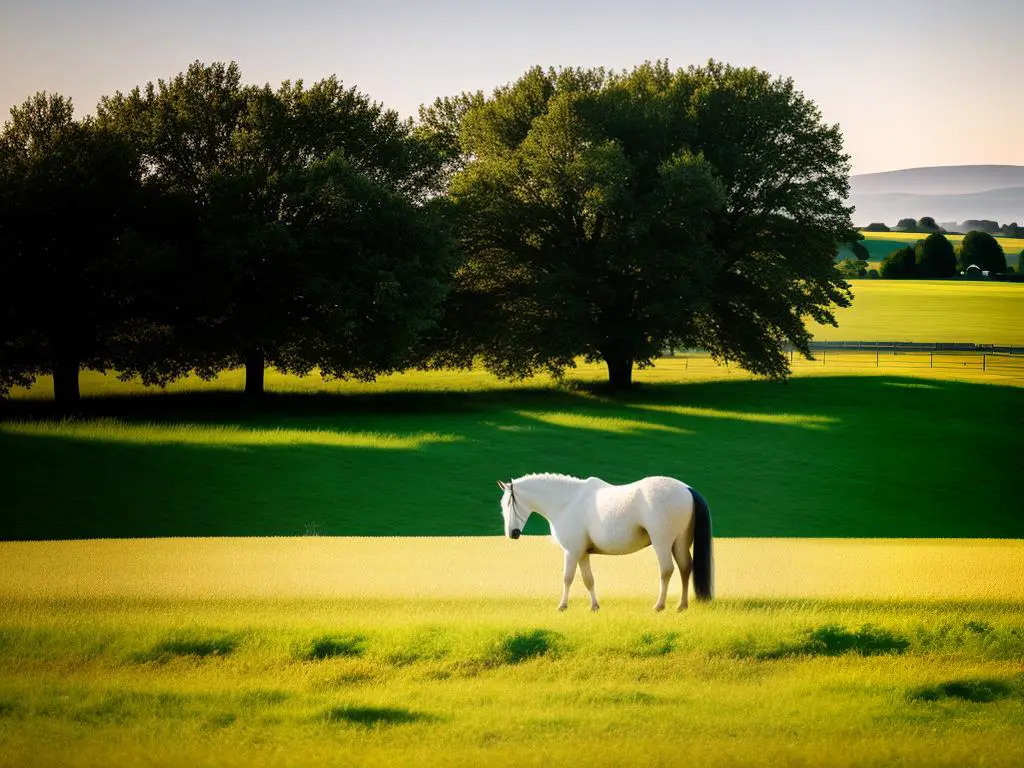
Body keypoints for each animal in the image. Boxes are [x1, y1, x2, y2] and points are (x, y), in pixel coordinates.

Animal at [495, 475, 712, 614]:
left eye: (508, 503)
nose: (513, 534)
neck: (568, 502)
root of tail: (687, 489)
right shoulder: (583, 553)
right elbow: (588, 579)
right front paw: (594, 607)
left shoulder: (572, 551)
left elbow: (567, 578)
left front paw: (562, 606)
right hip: (680, 542)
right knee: (685, 568)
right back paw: (681, 606)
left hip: (662, 543)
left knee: (667, 570)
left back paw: (659, 606)